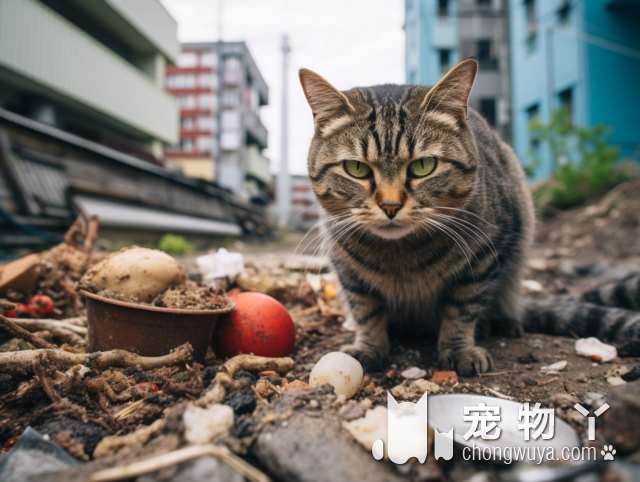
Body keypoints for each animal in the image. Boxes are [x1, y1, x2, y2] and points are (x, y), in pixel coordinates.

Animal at [298, 59, 640, 376]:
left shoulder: (485, 256)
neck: (402, 258)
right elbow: (365, 309)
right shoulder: (346, 269)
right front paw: (368, 346)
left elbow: (462, 308)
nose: (391, 205)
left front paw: (459, 349)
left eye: (423, 166)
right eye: (356, 169)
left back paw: (501, 322)